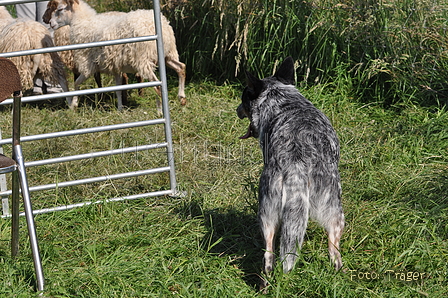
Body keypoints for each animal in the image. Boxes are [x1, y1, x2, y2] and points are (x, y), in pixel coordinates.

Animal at [43, 0, 186, 110]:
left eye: (60, 9)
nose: (50, 23)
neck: (82, 22)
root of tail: (163, 27)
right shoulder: (116, 67)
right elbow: (118, 88)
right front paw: (120, 108)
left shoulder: (88, 66)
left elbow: (77, 83)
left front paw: (73, 104)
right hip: (168, 54)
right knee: (181, 67)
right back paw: (182, 98)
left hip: (143, 60)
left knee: (158, 86)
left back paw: (160, 111)